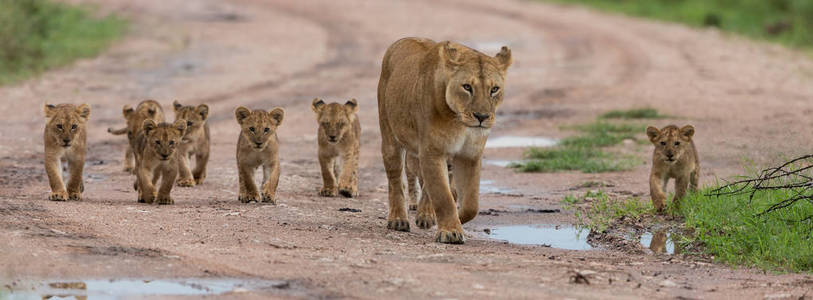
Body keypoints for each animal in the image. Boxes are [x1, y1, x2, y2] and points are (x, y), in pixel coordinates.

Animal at [378, 37, 510, 244]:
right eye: (467, 87)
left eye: (494, 89)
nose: (482, 117)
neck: (461, 124)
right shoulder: (432, 152)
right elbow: (443, 196)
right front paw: (450, 231)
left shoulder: (470, 155)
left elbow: (471, 203)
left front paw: (458, 220)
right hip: (390, 137)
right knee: (396, 181)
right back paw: (398, 220)